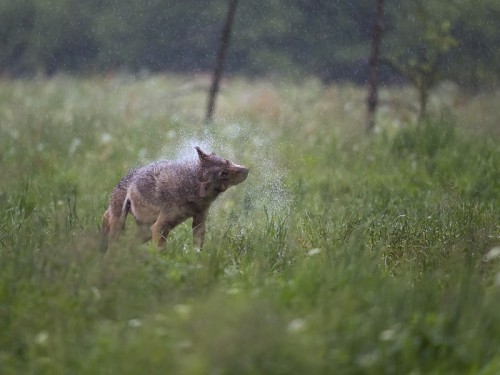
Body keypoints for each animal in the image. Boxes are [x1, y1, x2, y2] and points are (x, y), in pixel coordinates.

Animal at [102, 146, 250, 253]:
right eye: (224, 174)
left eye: (227, 161)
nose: (247, 170)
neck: (192, 187)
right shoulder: (159, 227)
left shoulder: (199, 222)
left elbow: (197, 248)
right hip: (121, 225)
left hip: (145, 232)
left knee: (126, 244)